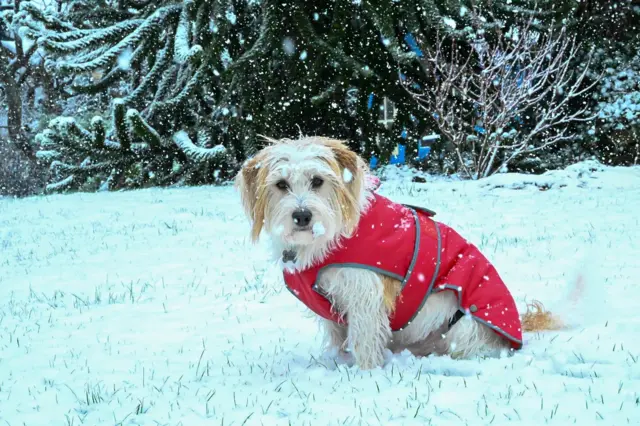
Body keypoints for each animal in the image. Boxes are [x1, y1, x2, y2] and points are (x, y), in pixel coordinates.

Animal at [234, 136, 560, 370]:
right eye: (281, 184)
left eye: (317, 181)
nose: (302, 216)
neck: (329, 238)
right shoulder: (332, 309)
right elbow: (339, 339)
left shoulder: (365, 295)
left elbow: (365, 339)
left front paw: (365, 373)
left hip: (466, 326)